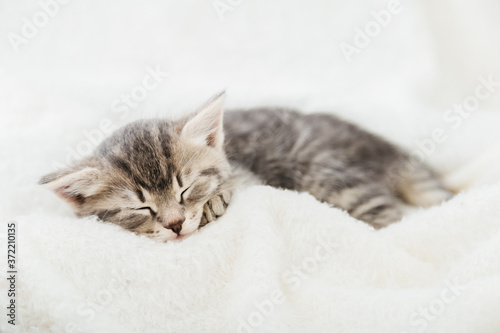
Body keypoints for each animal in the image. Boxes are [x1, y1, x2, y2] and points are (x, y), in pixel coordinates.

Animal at [40, 92, 454, 240]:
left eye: (185, 188)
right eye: (141, 208)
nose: (175, 224)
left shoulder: (250, 175)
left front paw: (214, 204)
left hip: (323, 173)